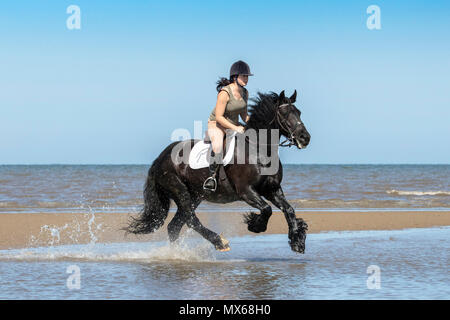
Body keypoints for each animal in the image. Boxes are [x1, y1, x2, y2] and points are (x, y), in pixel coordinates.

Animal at [125, 90, 312, 252]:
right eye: (285, 113)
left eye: (299, 112)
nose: (305, 138)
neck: (258, 150)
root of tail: (160, 158)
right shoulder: (246, 191)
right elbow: (267, 209)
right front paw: (255, 225)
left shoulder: (272, 189)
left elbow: (289, 210)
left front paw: (297, 241)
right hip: (180, 191)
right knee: (190, 219)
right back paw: (219, 242)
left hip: (195, 195)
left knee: (175, 225)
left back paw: (177, 253)